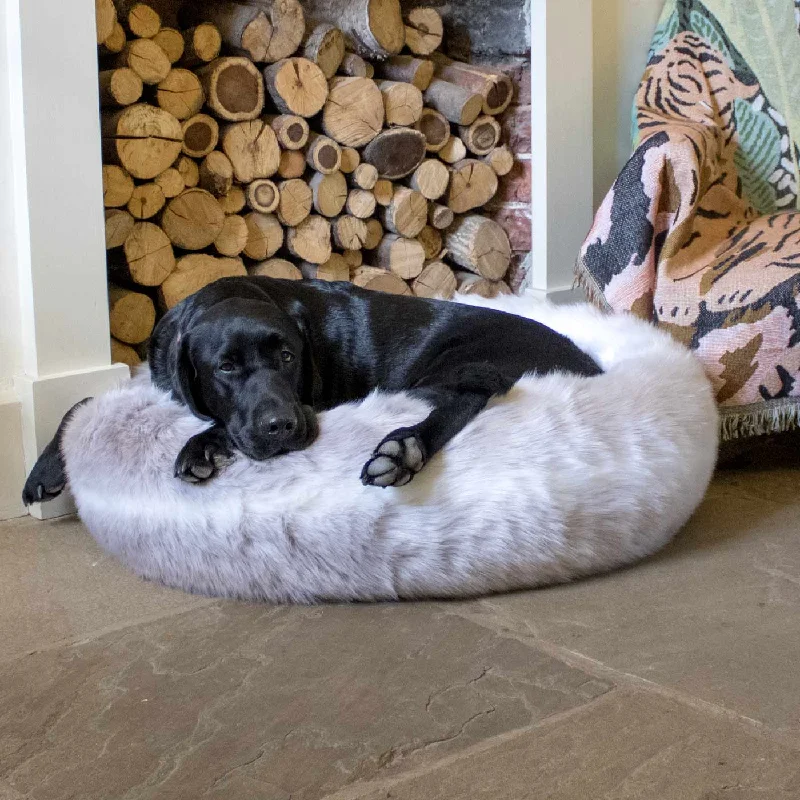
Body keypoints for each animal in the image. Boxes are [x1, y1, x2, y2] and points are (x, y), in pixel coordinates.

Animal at [23, 276, 600, 500]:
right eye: (225, 367)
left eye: (288, 357)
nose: (281, 426)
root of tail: (585, 364)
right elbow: (82, 399)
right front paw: (43, 472)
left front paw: (201, 446)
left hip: (455, 360)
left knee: (464, 398)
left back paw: (401, 450)